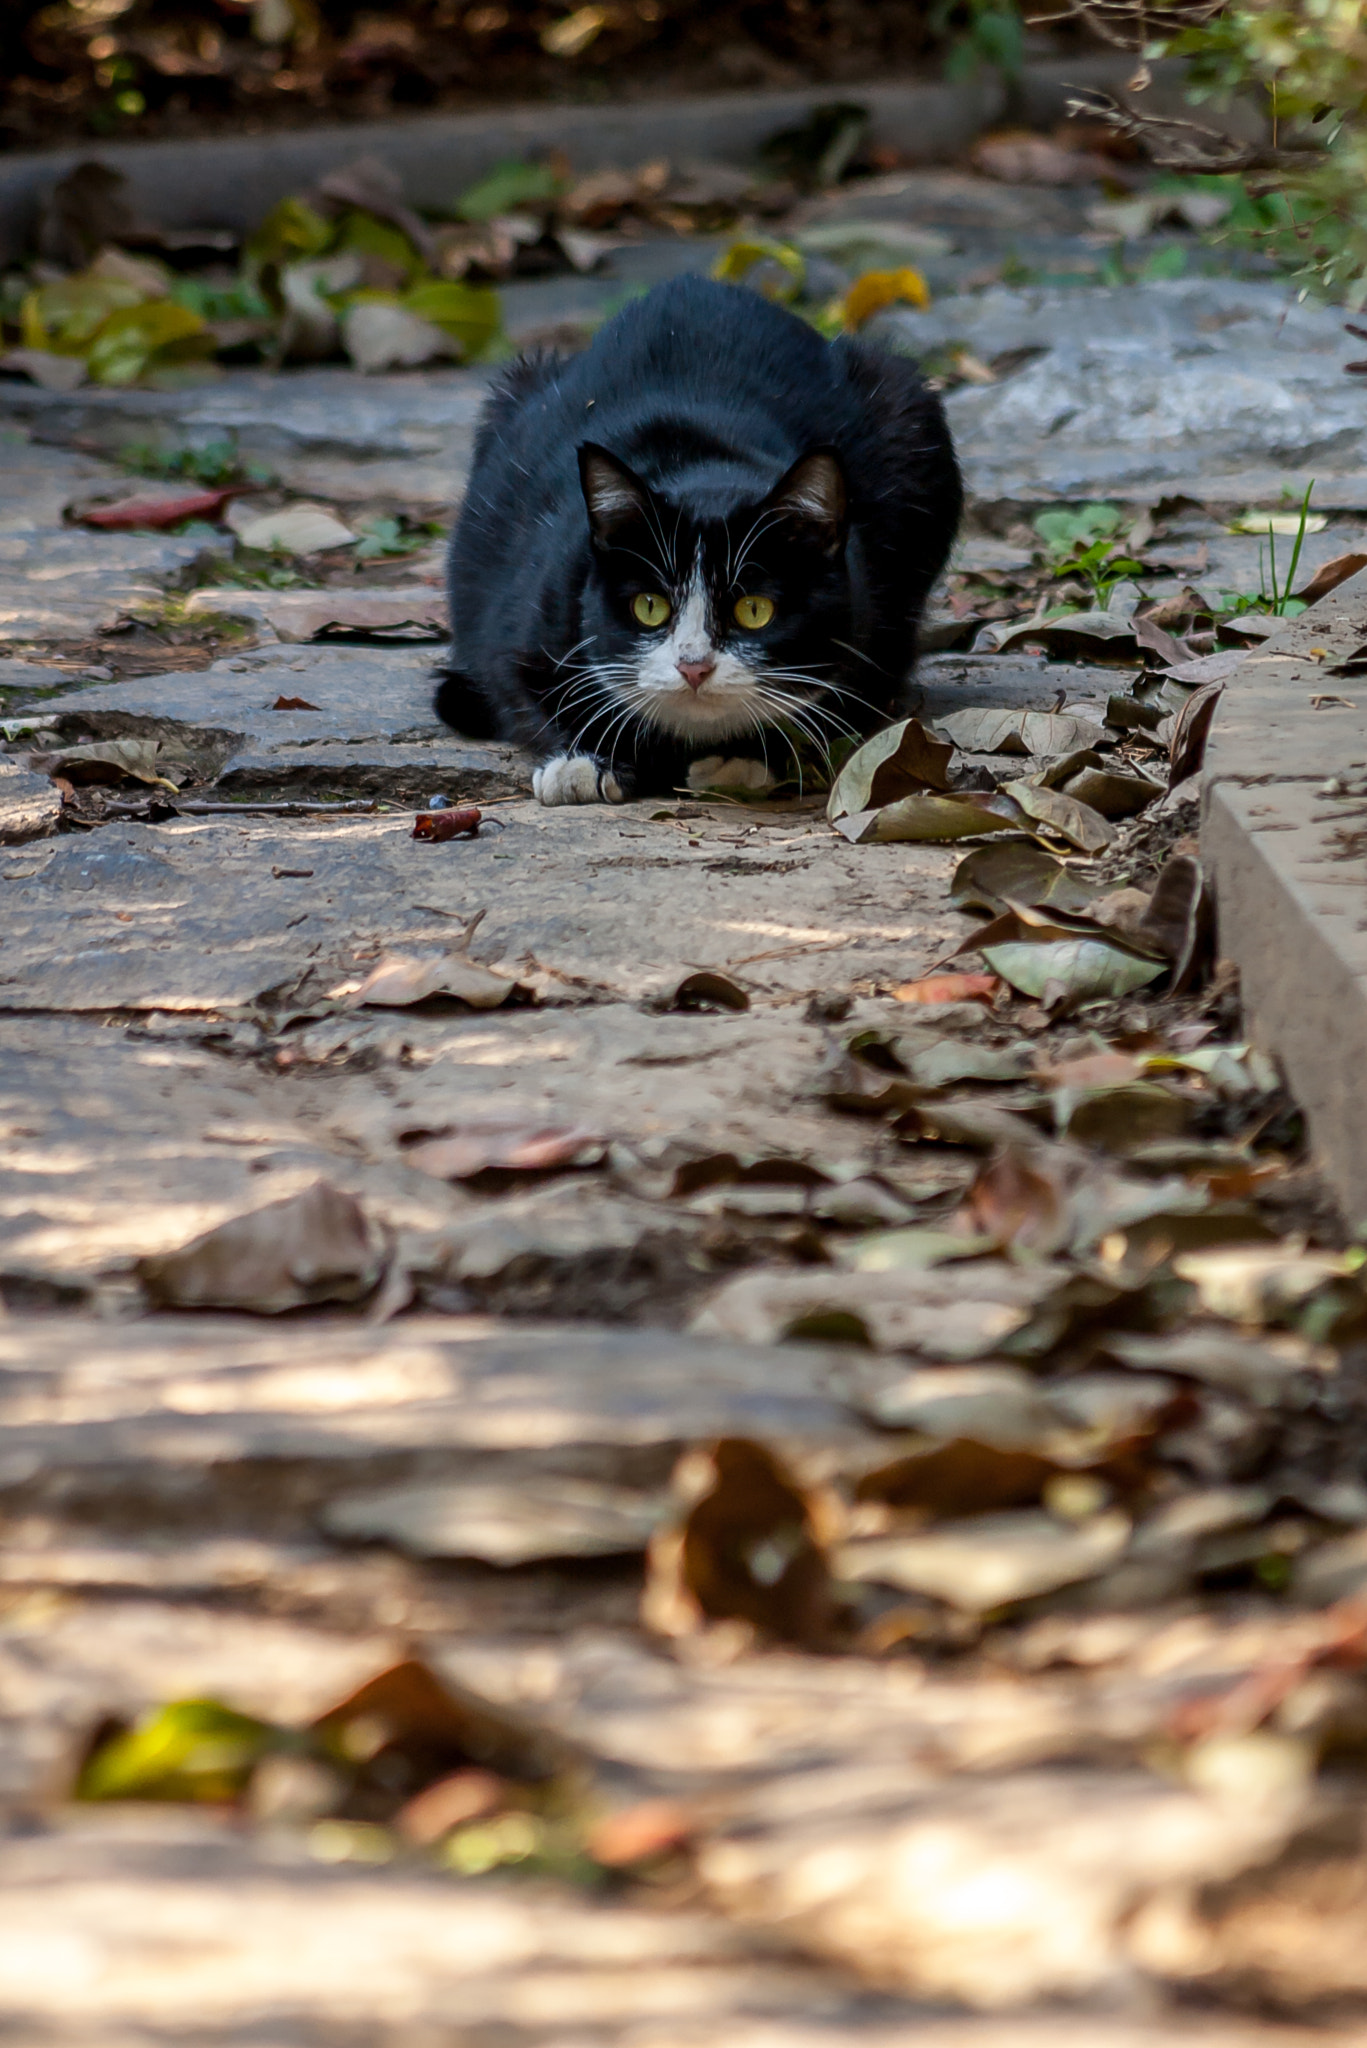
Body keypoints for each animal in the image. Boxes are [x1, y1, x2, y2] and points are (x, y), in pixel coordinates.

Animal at [438, 276, 963, 802]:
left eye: (755, 610)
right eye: (649, 606)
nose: (693, 666)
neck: (702, 459)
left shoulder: (872, 628)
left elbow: (849, 702)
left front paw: (745, 756)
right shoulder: (526, 611)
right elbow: (522, 688)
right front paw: (583, 761)